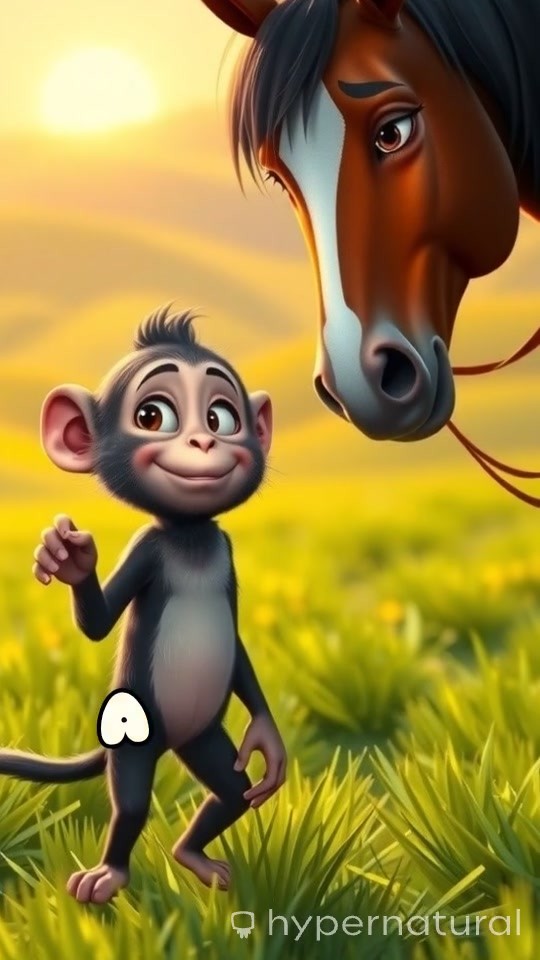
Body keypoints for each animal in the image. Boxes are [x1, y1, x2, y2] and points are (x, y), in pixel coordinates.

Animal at [0, 304, 287, 905]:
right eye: (153, 416)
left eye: (223, 417)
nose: (204, 443)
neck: (189, 533)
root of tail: (171, 742)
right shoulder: (147, 549)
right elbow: (98, 623)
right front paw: (70, 558)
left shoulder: (225, 549)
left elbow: (240, 651)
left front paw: (269, 743)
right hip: (133, 736)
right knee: (130, 805)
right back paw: (109, 874)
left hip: (204, 738)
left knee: (233, 791)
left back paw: (192, 856)